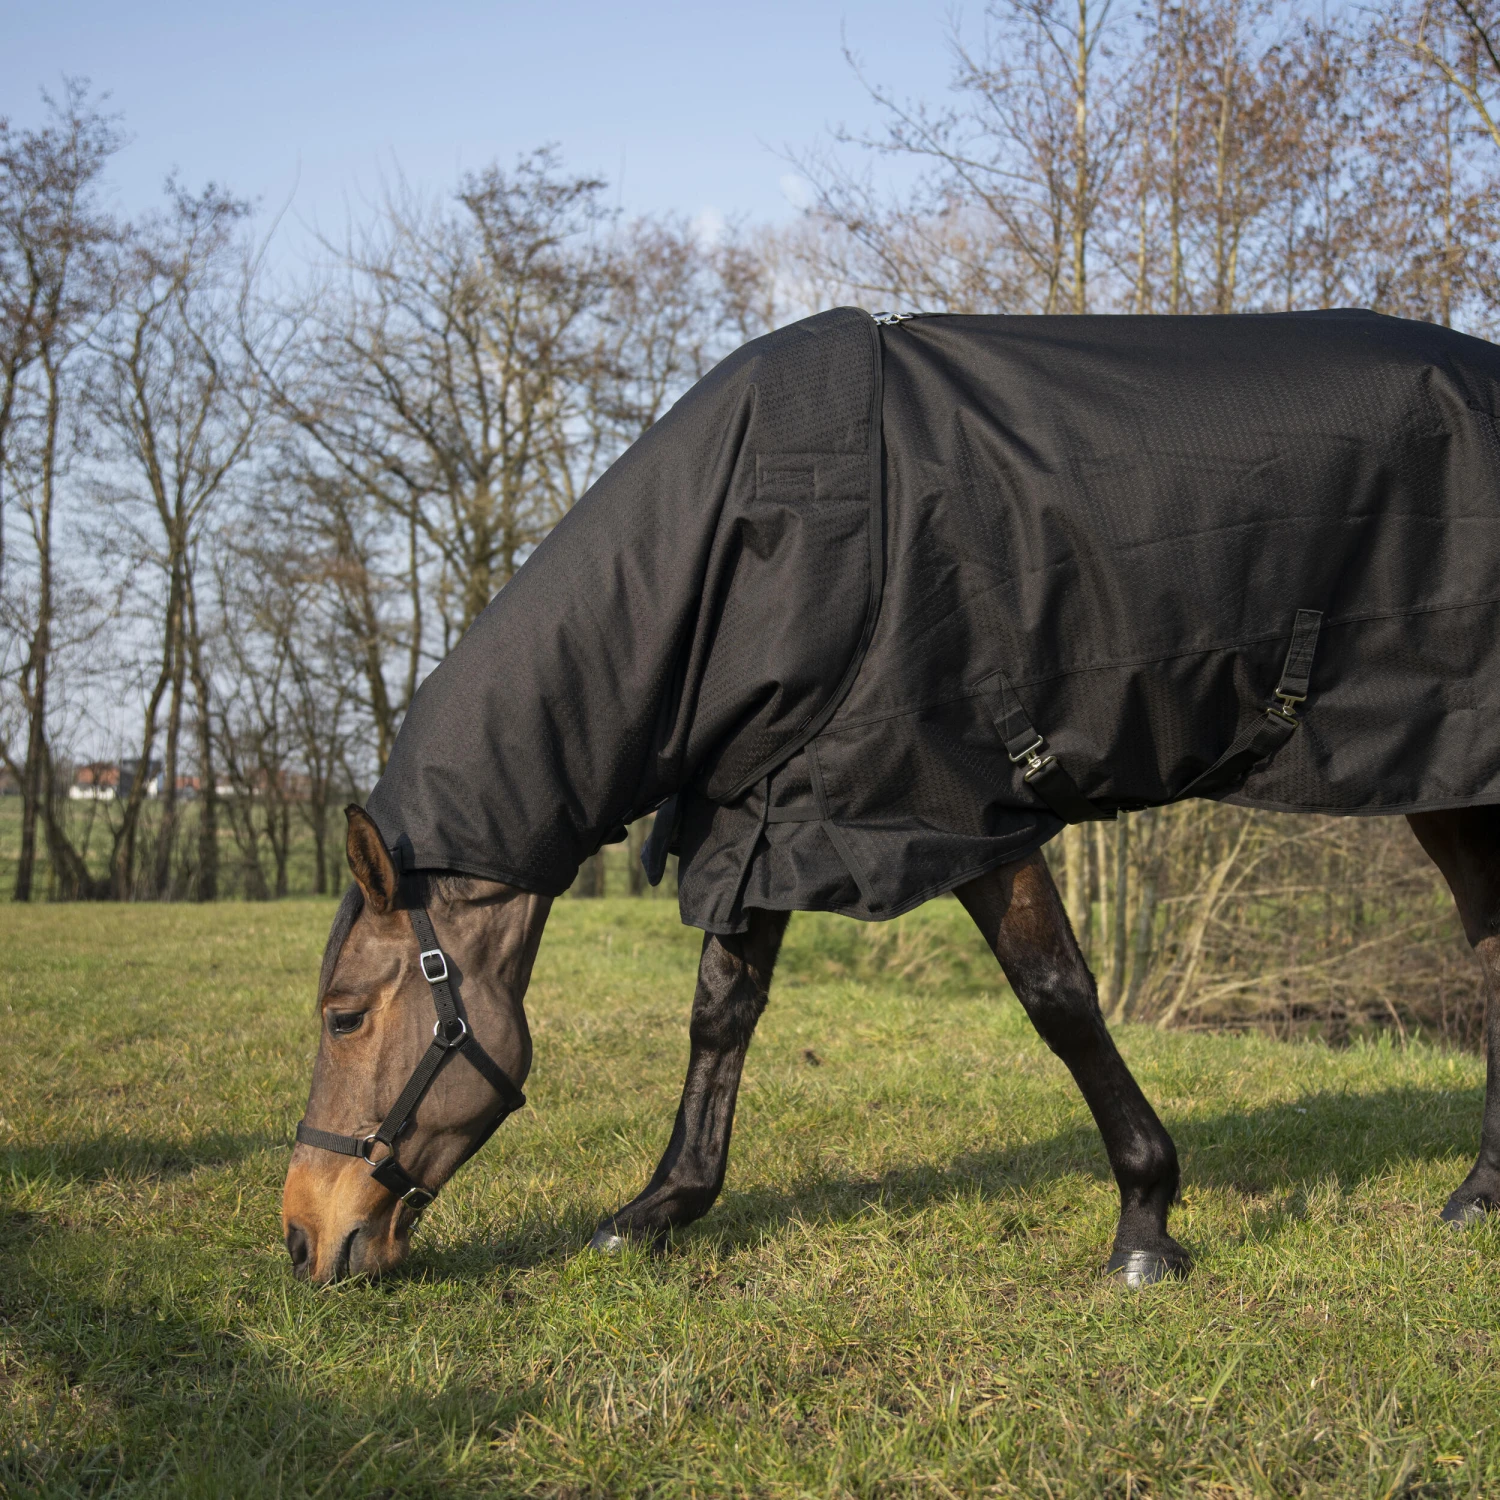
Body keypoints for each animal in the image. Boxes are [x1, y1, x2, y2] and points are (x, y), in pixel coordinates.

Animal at [283, 308, 1500, 1286]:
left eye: (343, 1014)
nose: (302, 1239)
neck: (754, 541)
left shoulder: (955, 811)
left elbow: (1057, 999)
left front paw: (1146, 1223)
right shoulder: (772, 810)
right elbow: (721, 1013)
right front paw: (658, 1210)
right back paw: (1479, 1194)